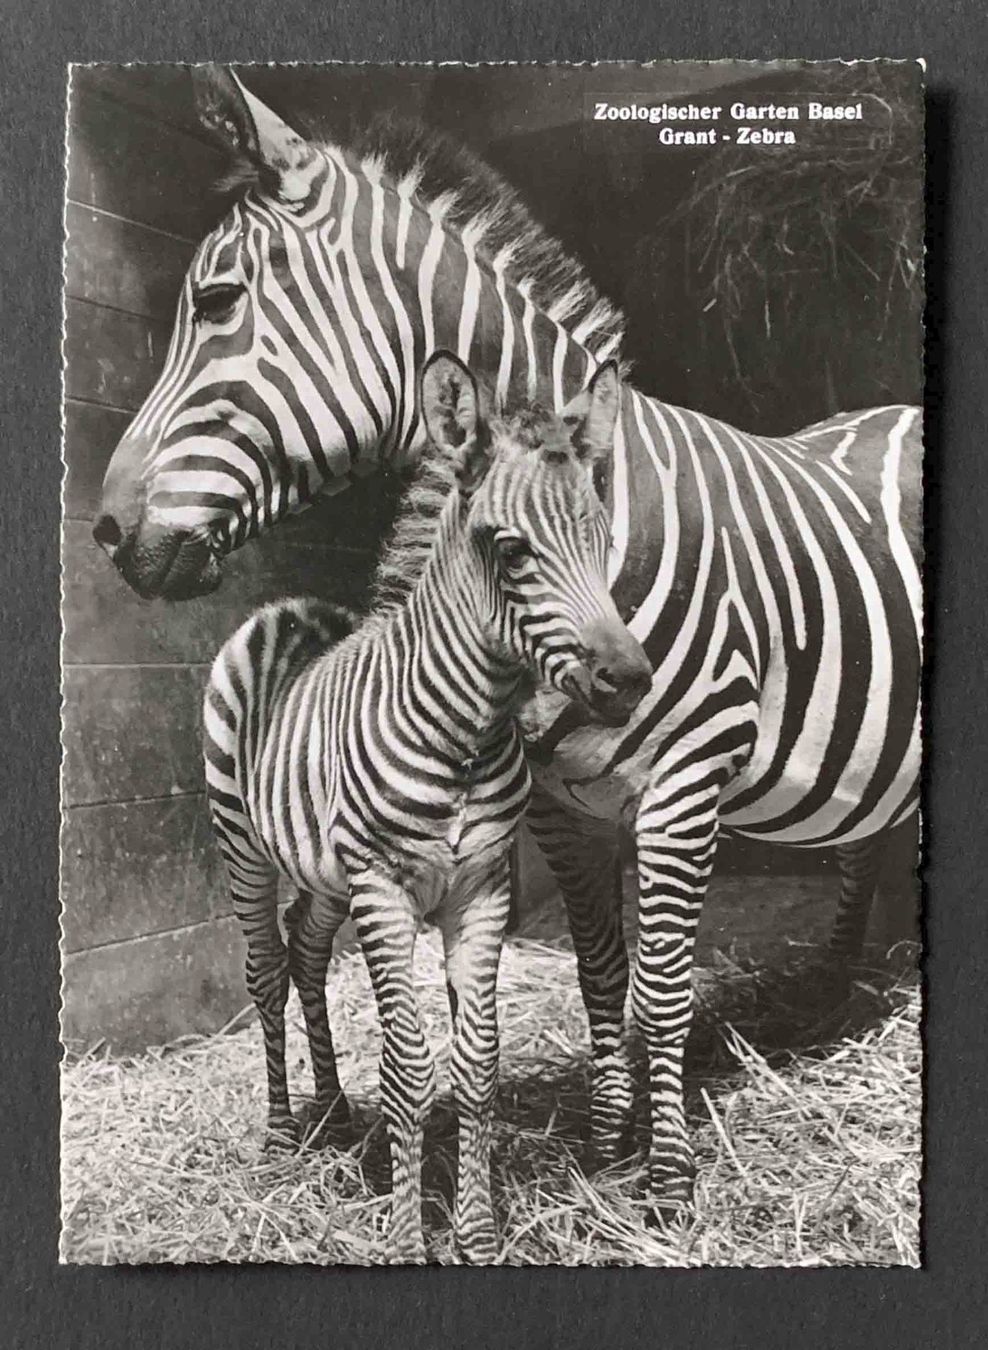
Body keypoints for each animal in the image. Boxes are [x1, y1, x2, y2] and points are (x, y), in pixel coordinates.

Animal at [203, 348, 651, 1263]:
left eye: (600, 540)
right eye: (511, 551)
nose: (628, 681)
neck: (467, 732)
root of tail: (286, 607)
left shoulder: (481, 887)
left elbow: (477, 1061)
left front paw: (476, 1235)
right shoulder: (384, 888)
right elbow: (410, 1065)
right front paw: (411, 1236)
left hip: (325, 871)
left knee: (306, 955)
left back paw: (336, 1117)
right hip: (244, 845)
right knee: (265, 971)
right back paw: (280, 1137)